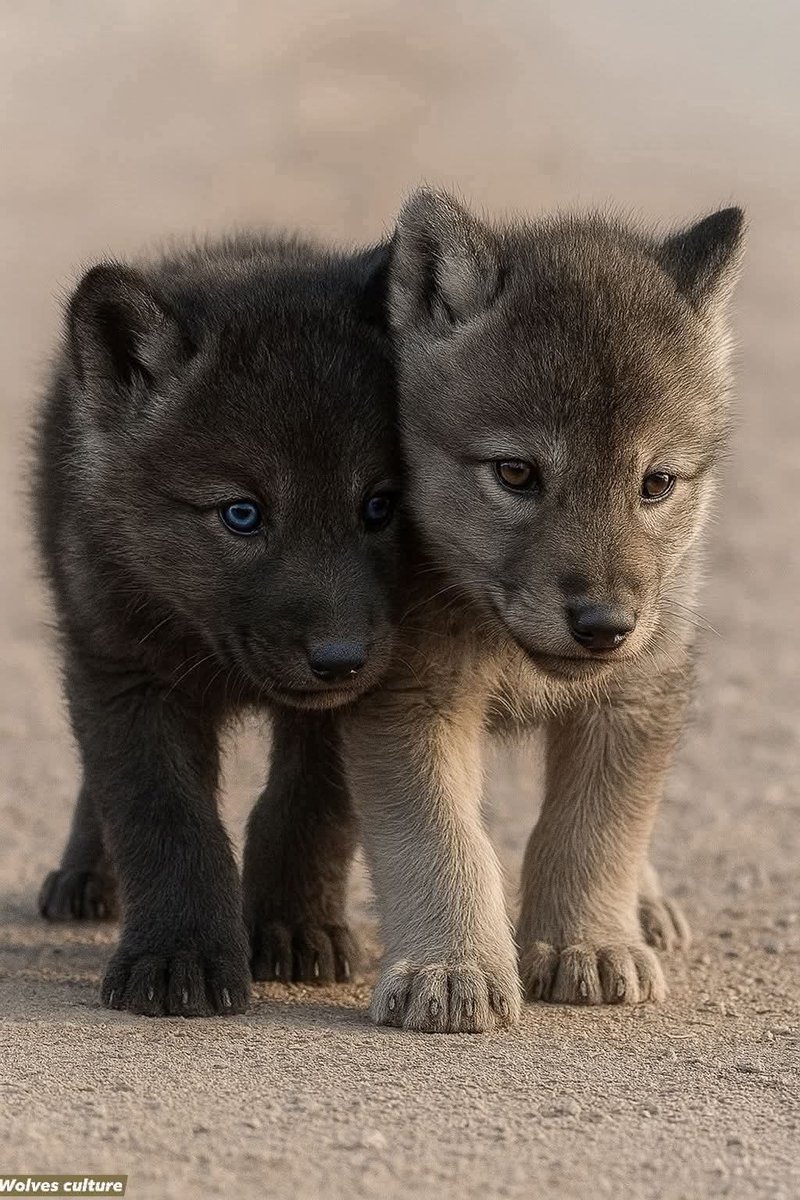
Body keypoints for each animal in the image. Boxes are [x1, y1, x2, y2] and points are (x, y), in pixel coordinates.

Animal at [33, 233, 401, 1016]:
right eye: (242, 513)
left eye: (379, 505)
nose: (340, 657)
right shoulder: (124, 671)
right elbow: (162, 816)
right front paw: (180, 957)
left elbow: (308, 808)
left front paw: (292, 927)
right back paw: (84, 877)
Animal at [339, 188, 744, 1032]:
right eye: (517, 473)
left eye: (657, 483)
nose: (603, 625)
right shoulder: (409, 700)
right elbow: (440, 840)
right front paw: (451, 967)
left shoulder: (638, 692)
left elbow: (595, 830)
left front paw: (589, 943)